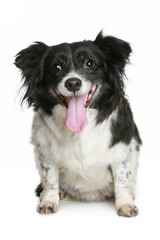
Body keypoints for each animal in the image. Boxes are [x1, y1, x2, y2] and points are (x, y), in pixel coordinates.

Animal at [15, 31, 142, 218]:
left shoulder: (123, 148)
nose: (73, 83)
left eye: (90, 63)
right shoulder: (44, 151)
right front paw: (49, 201)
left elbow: (122, 179)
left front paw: (125, 204)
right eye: (56, 67)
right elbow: (50, 178)